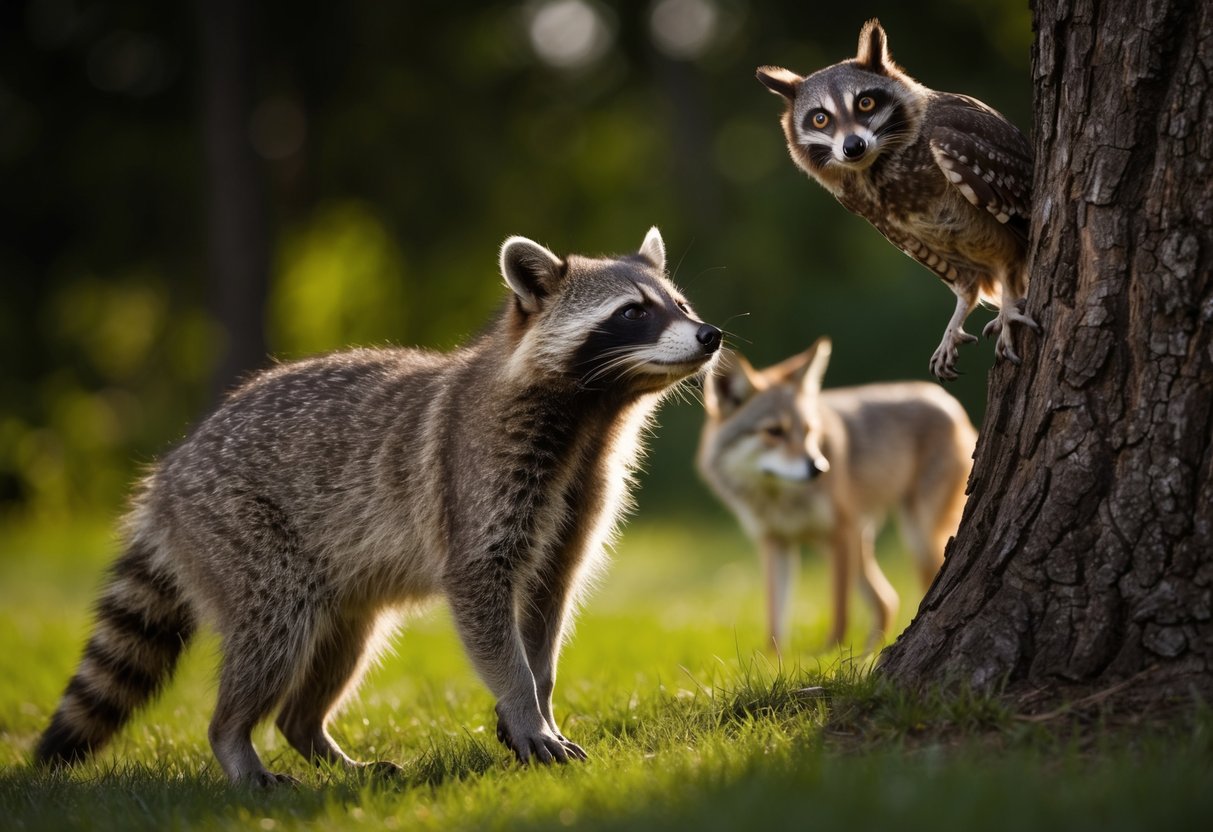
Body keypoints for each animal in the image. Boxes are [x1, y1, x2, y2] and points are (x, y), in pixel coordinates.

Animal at [35, 228, 722, 786]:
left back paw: (312, 737)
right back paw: (234, 740)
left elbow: (549, 607)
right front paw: (525, 707)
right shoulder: (478, 482)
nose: (710, 333)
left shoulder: (580, 497)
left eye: (681, 306)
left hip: (342, 584)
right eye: (633, 312)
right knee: (272, 631)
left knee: (337, 651)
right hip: (239, 531)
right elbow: (481, 590)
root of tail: (168, 476)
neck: (591, 414)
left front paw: (540, 701)